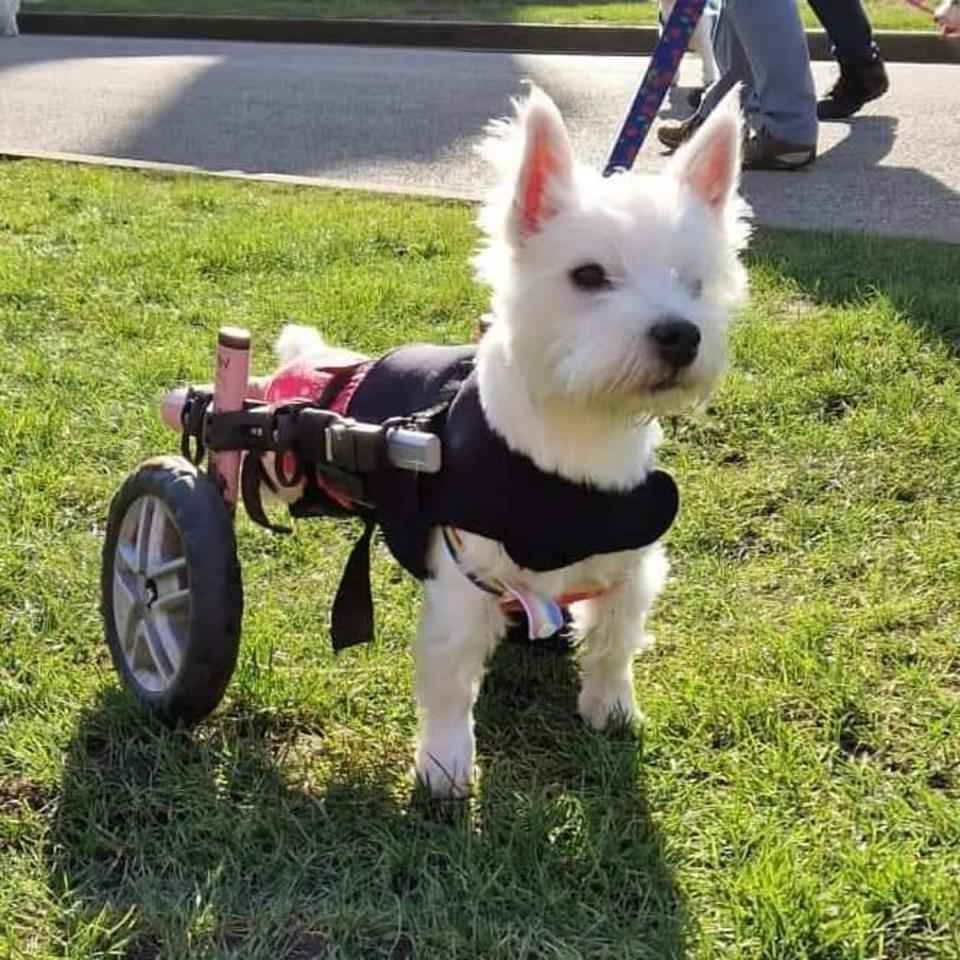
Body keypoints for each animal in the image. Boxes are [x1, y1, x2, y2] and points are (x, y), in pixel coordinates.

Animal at [270, 88, 752, 796]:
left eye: (696, 284)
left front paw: (612, 708)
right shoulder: (463, 587)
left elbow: (614, 645)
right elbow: (449, 684)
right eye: (588, 275)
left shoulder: (630, 572)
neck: (578, 448)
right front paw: (444, 766)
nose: (680, 334)